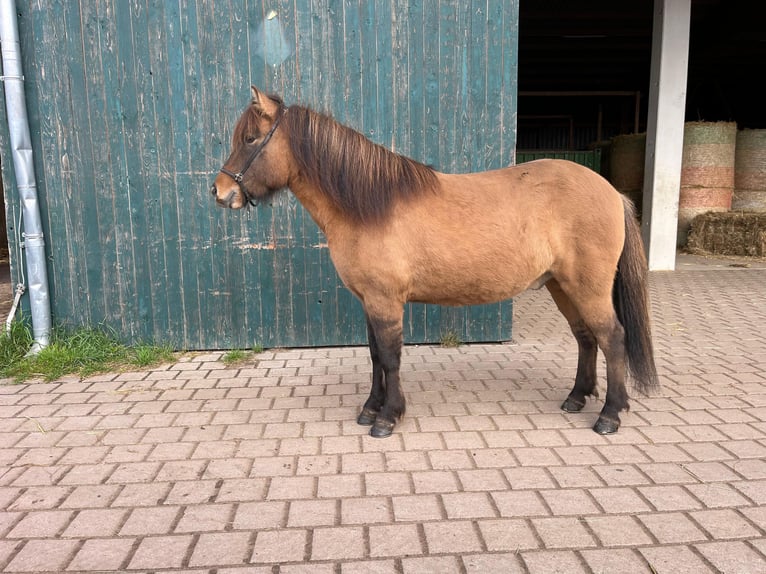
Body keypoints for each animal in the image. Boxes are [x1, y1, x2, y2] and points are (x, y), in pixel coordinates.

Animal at [210, 85, 660, 438]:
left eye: (250, 138)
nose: (219, 192)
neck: (369, 206)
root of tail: (611, 191)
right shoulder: (370, 301)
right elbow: (375, 355)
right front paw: (370, 408)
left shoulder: (386, 301)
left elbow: (390, 357)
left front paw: (387, 417)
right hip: (560, 285)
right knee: (586, 338)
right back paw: (576, 398)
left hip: (588, 287)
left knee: (613, 338)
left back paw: (609, 415)